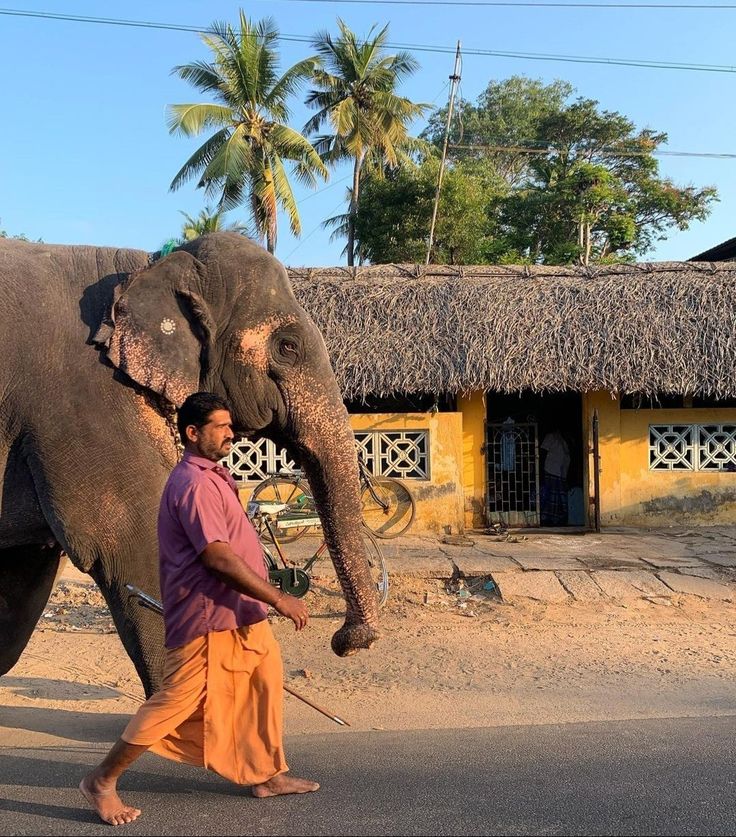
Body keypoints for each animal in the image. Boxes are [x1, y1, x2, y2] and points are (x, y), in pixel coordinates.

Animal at [0, 229, 380, 692]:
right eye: (287, 347)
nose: (349, 641)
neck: (145, 269)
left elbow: (20, 583)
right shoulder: (85, 405)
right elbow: (135, 543)